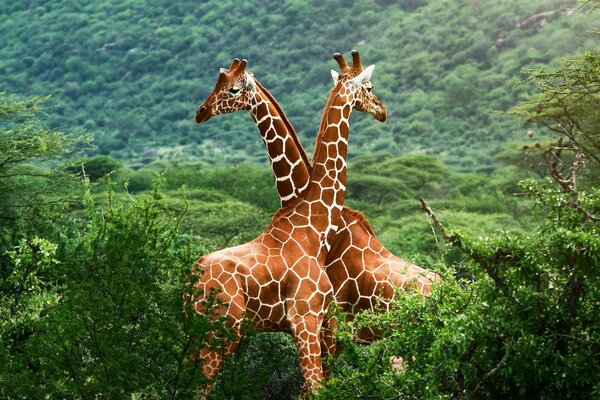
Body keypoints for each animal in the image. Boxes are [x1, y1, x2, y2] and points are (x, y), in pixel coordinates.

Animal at [190, 50, 384, 396]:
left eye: (232, 89)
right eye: (370, 87)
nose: (201, 112)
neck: (313, 224)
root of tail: (192, 279)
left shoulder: (318, 323)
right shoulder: (306, 319)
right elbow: (316, 389)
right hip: (221, 330)